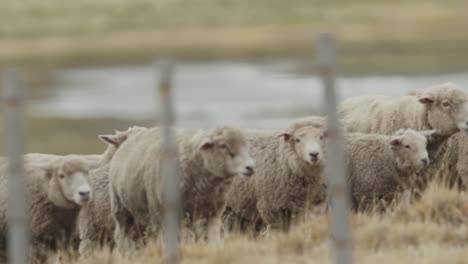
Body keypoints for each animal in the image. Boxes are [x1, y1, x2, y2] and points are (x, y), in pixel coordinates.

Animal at [109, 127, 256, 253]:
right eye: (223, 145)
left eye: (245, 145)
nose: (250, 167)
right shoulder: (173, 212)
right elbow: (184, 238)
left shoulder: (213, 212)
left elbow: (212, 237)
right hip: (122, 208)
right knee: (124, 235)